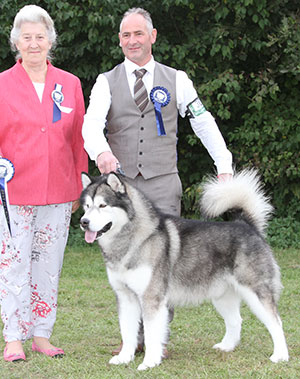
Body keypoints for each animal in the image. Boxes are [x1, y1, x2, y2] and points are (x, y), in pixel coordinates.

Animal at [79, 171, 288, 372]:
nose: (83, 222)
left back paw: (280, 356)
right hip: (221, 295)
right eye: (87, 206)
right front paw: (124, 358)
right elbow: (127, 331)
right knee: (236, 320)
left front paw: (150, 362)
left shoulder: (152, 298)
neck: (133, 240)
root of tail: (246, 225)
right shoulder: (125, 297)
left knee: (276, 322)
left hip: (256, 292)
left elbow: (152, 334)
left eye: (103, 205)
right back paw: (227, 346)